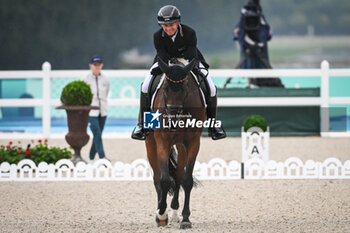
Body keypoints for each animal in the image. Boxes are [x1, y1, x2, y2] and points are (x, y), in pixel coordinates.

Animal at [144, 57, 205, 228]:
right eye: (164, 87)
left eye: (185, 88)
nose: (172, 120)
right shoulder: (162, 141)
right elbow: (164, 180)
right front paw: (161, 214)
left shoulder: (193, 142)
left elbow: (187, 180)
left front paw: (185, 219)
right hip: (151, 144)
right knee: (157, 176)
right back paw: (161, 212)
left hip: (181, 146)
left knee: (178, 177)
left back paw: (175, 213)